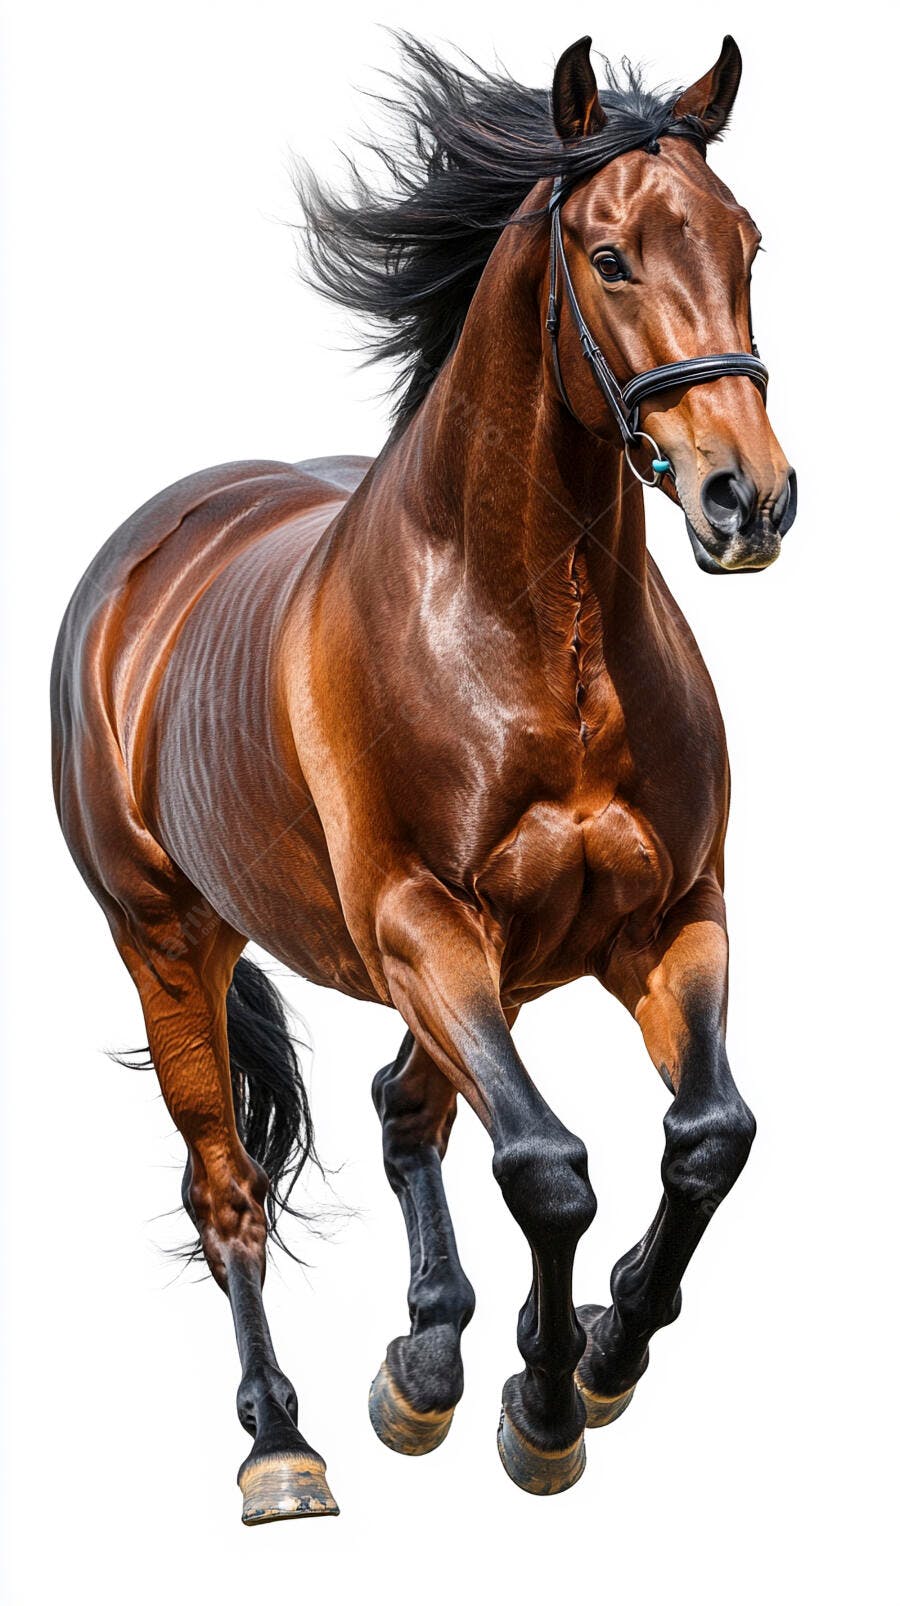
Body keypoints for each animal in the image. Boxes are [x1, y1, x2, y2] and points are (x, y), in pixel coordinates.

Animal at [51, 33, 796, 1524]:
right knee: (229, 1188)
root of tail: (146, 555)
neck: (533, 636)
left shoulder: (667, 919)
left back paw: (428, 1359)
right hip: (170, 939)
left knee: (406, 1113)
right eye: (611, 256)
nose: (749, 500)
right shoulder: (421, 925)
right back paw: (283, 1446)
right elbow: (549, 1168)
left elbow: (707, 1135)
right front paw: (553, 1404)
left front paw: (592, 1348)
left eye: (746, 242)